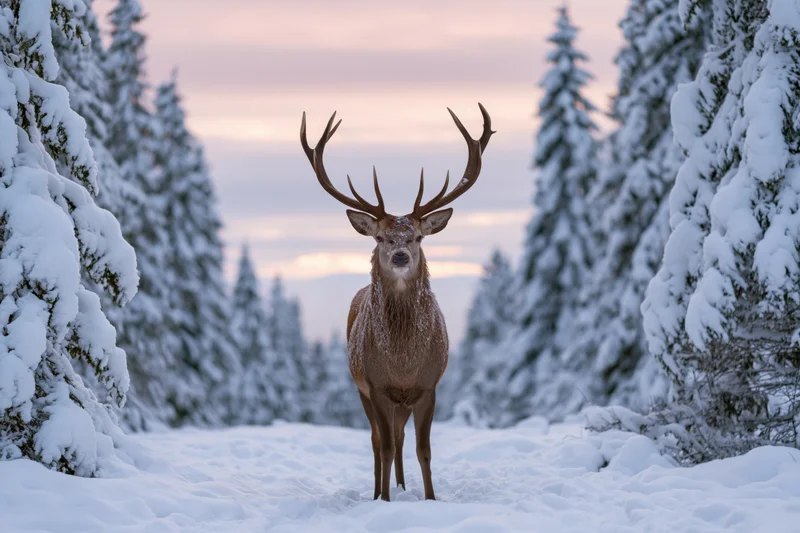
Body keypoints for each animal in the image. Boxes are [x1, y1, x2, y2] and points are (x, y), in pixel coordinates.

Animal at [300, 103, 493, 502]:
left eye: (418, 236)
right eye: (381, 237)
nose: (401, 255)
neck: (403, 362)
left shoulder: (429, 386)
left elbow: (424, 449)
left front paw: (431, 499)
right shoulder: (376, 386)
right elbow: (385, 446)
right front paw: (384, 500)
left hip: (402, 402)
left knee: (402, 438)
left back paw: (403, 486)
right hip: (361, 387)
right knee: (379, 441)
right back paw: (382, 490)